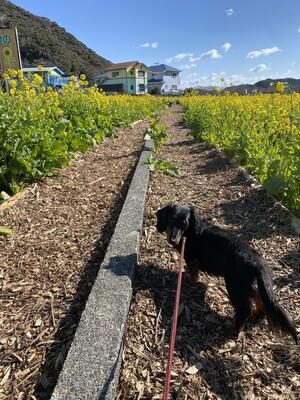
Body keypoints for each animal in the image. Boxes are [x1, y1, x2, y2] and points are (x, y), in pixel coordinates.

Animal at [157, 203, 298, 344]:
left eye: (184, 224)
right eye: (171, 219)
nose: (173, 240)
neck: (191, 231)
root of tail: (256, 260)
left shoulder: (191, 258)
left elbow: (194, 274)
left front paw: (191, 281)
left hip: (234, 285)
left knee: (244, 309)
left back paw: (234, 328)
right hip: (244, 284)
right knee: (257, 295)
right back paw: (259, 313)